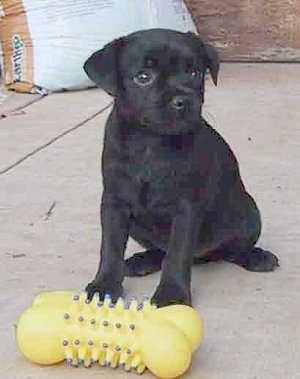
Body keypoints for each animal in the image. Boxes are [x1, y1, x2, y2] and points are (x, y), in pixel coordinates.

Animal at [82, 29, 278, 308]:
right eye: (143, 77)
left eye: (194, 73)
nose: (182, 100)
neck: (151, 142)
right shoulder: (114, 202)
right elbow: (110, 247)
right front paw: (104, 285)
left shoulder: (186, 208)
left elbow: (178, 253)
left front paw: (172, 294)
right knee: (161, 250)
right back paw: (143, 261)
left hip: (249, 213)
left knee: (230, 249)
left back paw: (255, 256)